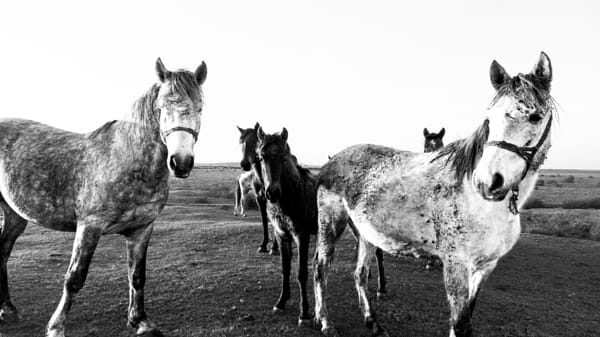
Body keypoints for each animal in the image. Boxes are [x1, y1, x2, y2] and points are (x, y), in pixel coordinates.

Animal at [0, 58, 207, 336]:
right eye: (163, 106)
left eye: (200, 108)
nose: (181, 162)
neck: (127, 160)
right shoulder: (90, 226)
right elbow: (75, 278)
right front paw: (56, 327)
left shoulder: (142, 229)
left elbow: (137, 276)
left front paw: (141, 321)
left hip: (14, 215)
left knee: (2, 252)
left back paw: (8, 309)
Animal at [254, 126, 318, 326]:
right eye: (261, 157)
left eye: (283, 157)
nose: (272, 193)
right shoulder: (282, 235)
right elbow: (285, 269)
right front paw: (281, 302)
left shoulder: (301, 236)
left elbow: (301, 273)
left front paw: (304, 313)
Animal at [316, 50, 556, 336]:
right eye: (489, 118)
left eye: (535, 117)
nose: (488, 182)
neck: (480, 205)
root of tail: (332, 161)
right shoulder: (455, 265)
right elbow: (461, 323)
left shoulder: (485, 267)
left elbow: (464, 319)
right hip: (330, 225)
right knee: (321, 270)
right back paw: (325, 322)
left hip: (365, 235)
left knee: (360, 274)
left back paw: (373, 322)